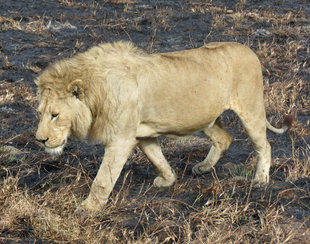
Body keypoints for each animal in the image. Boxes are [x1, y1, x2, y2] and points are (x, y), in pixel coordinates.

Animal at [35, 42, 292, 214]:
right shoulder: (142, 134)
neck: (96, 92)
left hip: (251, 109)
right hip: (203, 117)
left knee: (265, 146)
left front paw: (88, 209)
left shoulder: (120, 140)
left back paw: (260, 180)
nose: (40, 140)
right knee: (224, 138)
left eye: (55, 115)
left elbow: (102, 180)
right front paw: (168, 179)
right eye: (39, 114)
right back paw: (203, 167)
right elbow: (157, 158)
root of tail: (249, 50)